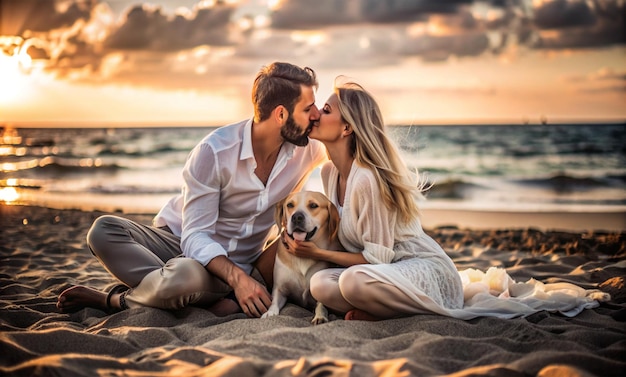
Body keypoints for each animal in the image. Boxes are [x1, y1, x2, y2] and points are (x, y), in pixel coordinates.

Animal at [260, 191, 338, 324]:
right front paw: (270, 313)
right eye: (290, 205)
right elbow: (274, 302)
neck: (302, 257)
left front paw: (320, 316)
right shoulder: (280, 289)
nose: (297, 217)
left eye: (313, 205)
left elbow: (321, 304)